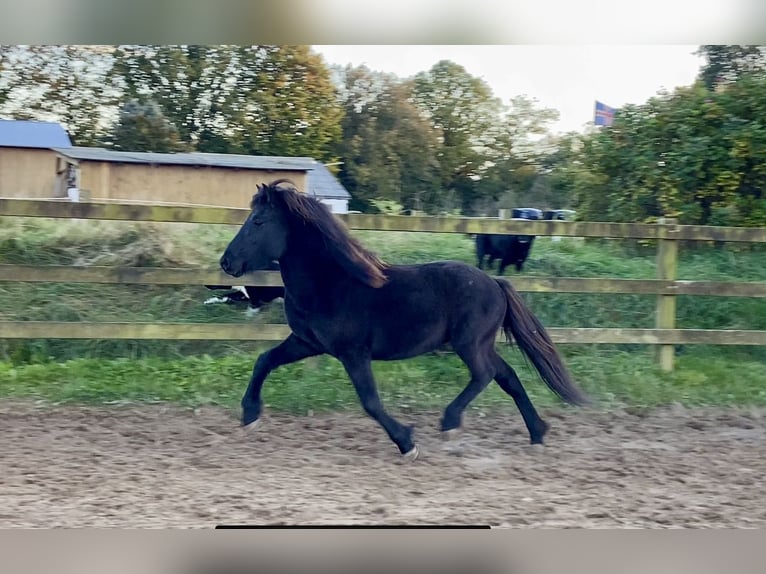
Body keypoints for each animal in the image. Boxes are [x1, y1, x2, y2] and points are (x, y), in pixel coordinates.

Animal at [219, 182, 592, 462]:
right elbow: (264, 360)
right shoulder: (307, 343)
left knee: (485, 374)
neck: (330, 283)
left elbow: (370, 401)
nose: (226, 262)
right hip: (482, 344)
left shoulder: (353, 352)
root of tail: (495, 282)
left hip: (469, 344)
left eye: (258, 222)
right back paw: (537, 434)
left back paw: (451, 423)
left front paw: (407, 443)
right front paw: (250, 416)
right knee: (507, 376)